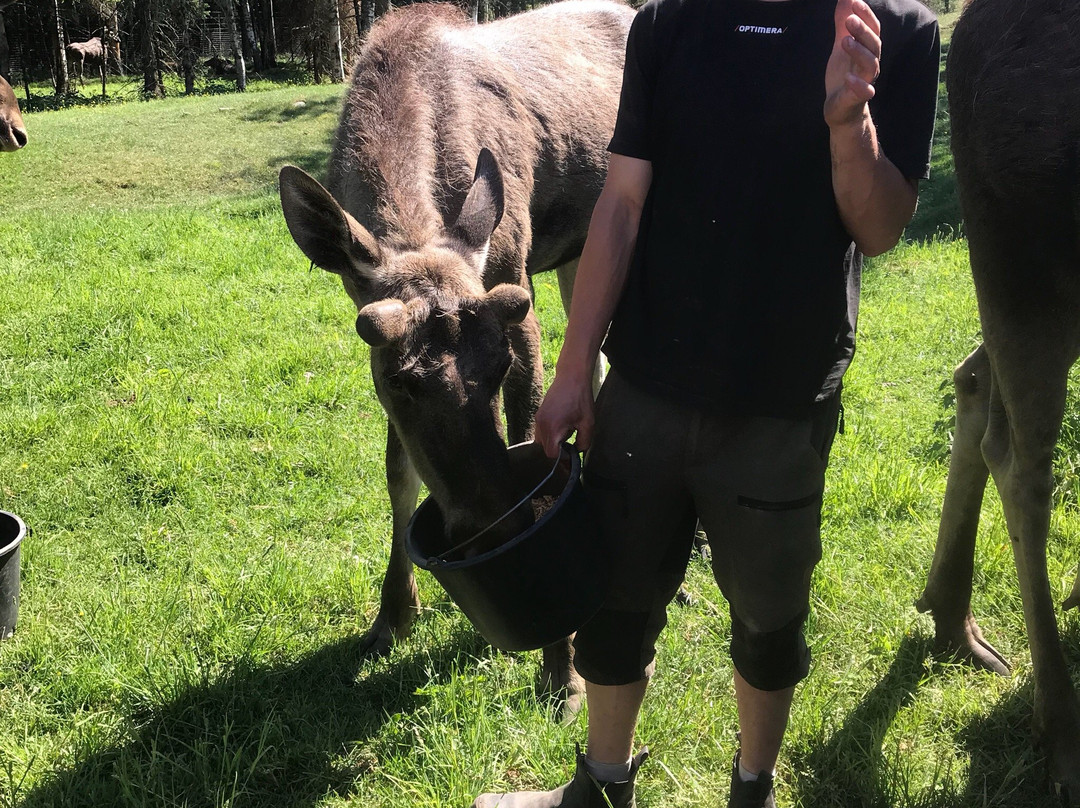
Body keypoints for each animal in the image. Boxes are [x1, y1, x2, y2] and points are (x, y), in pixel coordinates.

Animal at [276, 3, 630, 717]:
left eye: (495, 371)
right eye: (401, 382)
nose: (489, 530)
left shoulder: (514, 293)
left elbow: (531, 438)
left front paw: (563, 669)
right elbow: (398, 475)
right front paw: (391, 615)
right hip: (583, 246)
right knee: (597, 360)